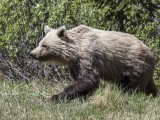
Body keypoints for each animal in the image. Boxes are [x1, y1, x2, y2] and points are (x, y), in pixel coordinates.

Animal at [30, 25, 158, 101]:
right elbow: (81, 80)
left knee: (132, 85)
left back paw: (129, 95)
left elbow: (88, 79)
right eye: (40, 43)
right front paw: (81, 96)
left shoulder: (88, 56)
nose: (32, 53)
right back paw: (154, 95)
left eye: (44, 45)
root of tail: (151, 53)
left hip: (133, 65)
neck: (74, 53)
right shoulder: (75, 65)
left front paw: (54, 96)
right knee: (149, 85)